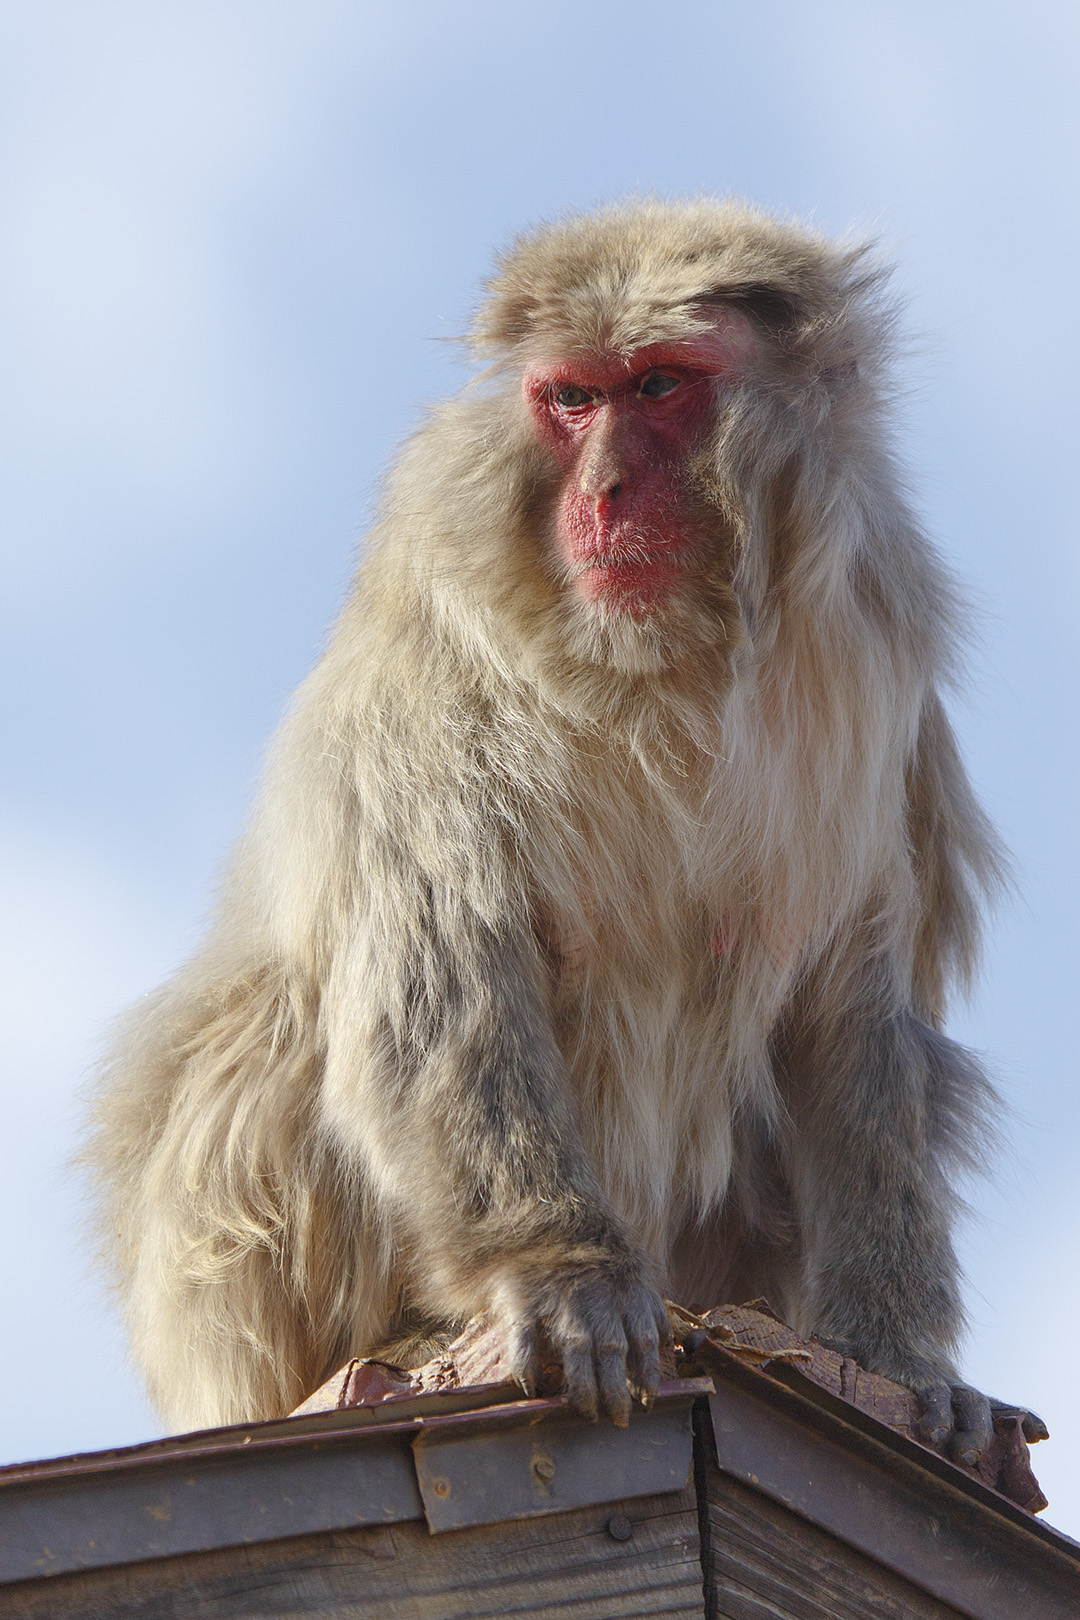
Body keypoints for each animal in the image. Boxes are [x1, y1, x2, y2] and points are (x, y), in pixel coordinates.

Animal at [88, 198, 1043, 1466]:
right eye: (574, 399)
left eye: (661, 386)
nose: (602, 494)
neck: (676, 651)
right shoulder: (433, 639)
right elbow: (441, 965)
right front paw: (561, 1274)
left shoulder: (869, 657)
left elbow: (854, 1007)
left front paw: (893, 1361)